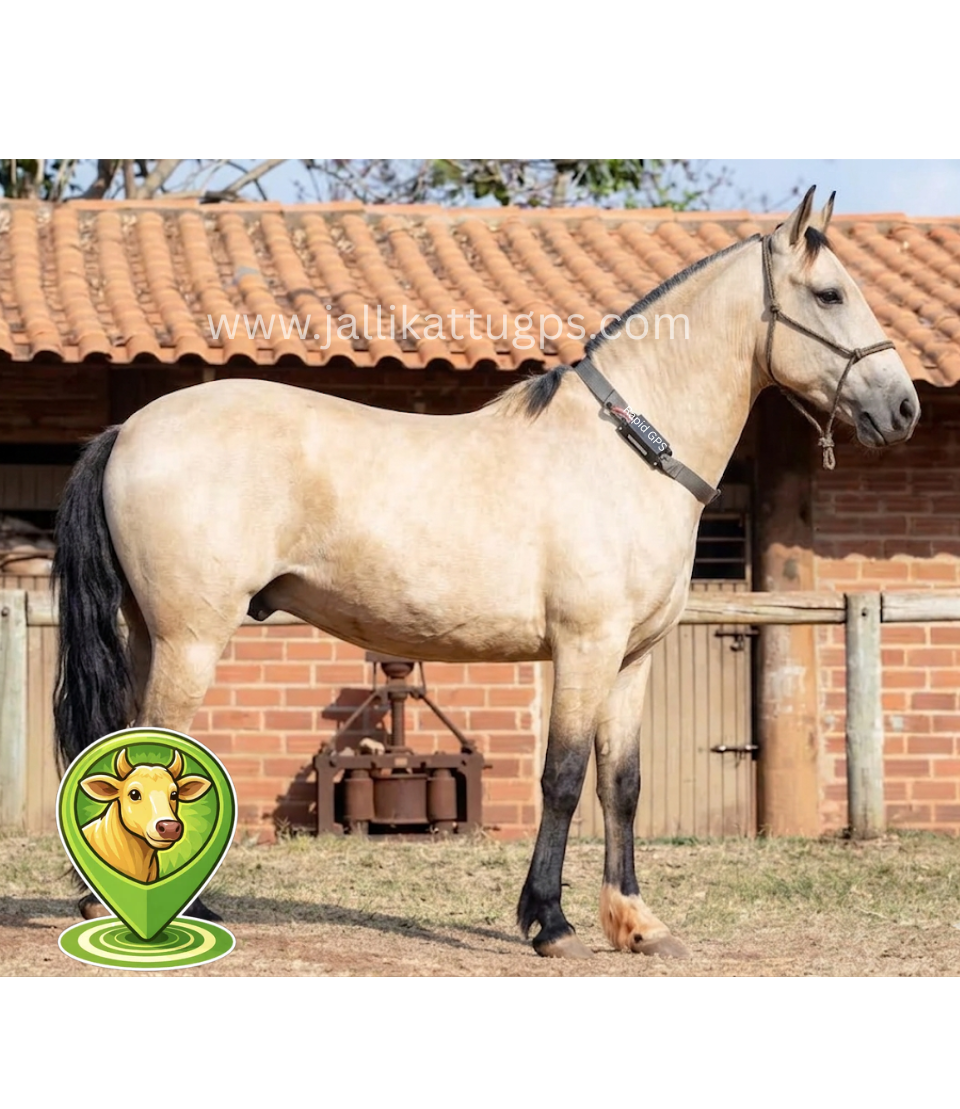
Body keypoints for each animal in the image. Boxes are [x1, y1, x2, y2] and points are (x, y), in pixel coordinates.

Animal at [53, 187, 919, 958]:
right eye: (831, 293)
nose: (904, 408)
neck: (627, 453)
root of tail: (129, 429)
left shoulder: (633, 658)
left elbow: (622, 785)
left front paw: (637, 923)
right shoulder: (584, 648)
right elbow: (564, 778)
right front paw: (552, 923)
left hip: (151, 635)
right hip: (190, 639)